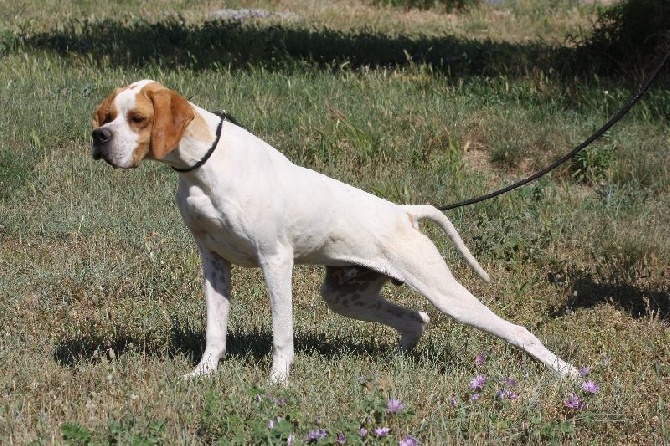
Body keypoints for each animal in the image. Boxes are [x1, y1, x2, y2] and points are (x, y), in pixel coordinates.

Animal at [92, 79, 580, 380]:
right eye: (105, 116)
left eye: (136, 118)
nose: (98, 138)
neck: (204, 168)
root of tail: (403, 212)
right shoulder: (214, 264)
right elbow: (215, 333)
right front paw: (202, 375)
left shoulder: (276, 261)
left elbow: (282, 335)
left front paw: (277, 383)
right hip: (344, 295)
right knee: (415, 319)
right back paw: (392, 361)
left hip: (446, 293)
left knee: (518, 331)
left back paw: (571, 376)